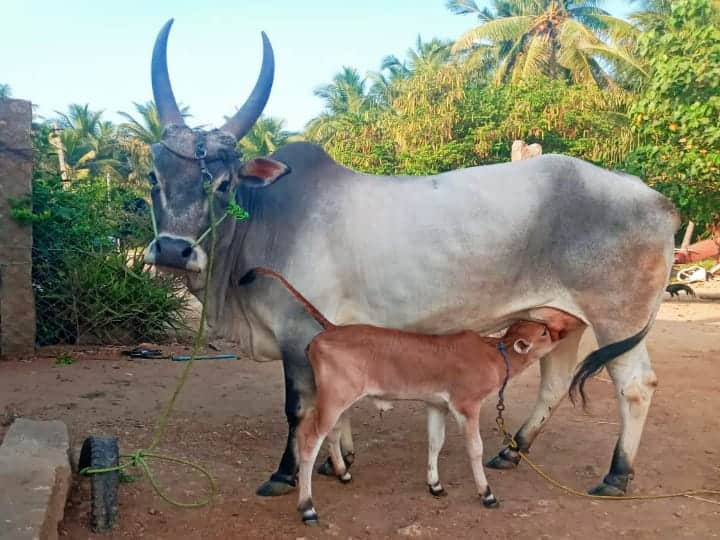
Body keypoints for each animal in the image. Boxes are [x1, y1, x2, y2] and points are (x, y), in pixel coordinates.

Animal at [240, 268, 580, 524]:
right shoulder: (466, 404)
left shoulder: (436, 404)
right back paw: (308, 508)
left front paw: (436, 485)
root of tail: (331, 330)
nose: (564, 328)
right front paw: (487, 494)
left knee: (331, 432)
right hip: (335, 397)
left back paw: (342, 473)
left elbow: (435, 443)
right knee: (309, 437)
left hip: (337, 398)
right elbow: (475, 449)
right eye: (544, 333)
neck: (494, 355)